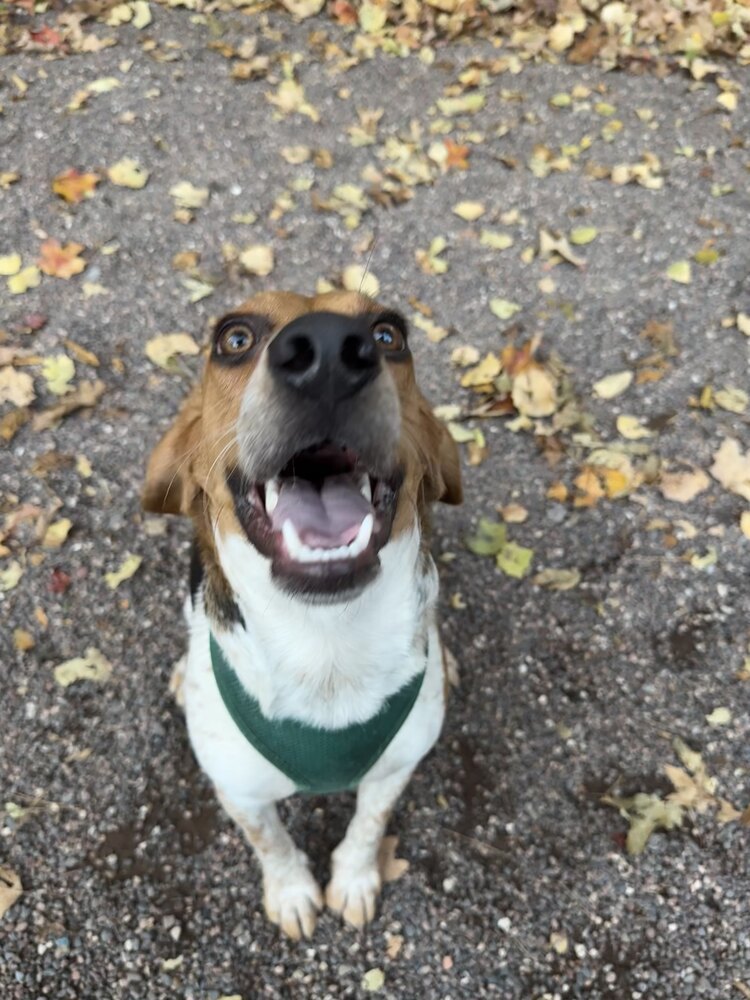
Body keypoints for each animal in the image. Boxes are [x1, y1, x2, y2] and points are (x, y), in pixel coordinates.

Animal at [143, 290, 462, 936]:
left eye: (390, 334)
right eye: (233, 339)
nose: (328, 355)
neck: (325, 641)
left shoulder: (394, 769)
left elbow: (367, 827)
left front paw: (355, 880)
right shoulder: (241, 793)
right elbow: (271, 843)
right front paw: (291, 893)